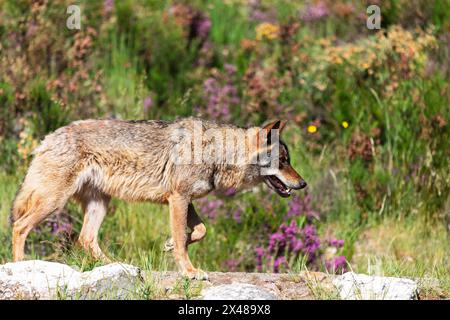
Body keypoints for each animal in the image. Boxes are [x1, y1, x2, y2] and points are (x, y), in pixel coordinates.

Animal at [11, 117, 306, 278]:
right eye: (283, 161)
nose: (303, 183)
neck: (215, 152)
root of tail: (49, 137)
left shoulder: (184, 200)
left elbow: (200, 230)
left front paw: (171, 245)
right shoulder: (178, 199)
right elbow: (183, 240)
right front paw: (190, 271)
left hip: (99, 205)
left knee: (86, 239)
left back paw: (119, 265)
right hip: (54, 202)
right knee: (19, 226)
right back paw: (19, 266)